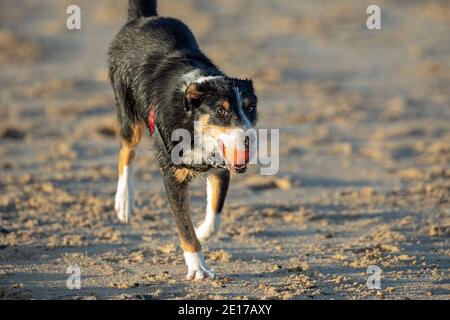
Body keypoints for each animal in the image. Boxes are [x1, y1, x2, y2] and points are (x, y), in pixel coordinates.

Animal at [107, 0, 258, 280]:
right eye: (221, 111)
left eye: (250, 108)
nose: (248, 139)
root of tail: (143, 18)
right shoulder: (172, 179)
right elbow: (183, 226)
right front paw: (197, 267)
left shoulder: (221, 166)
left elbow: (215, 213)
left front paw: (202, 231)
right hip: (129, 114)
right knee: (126, 150)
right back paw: (124, 200)